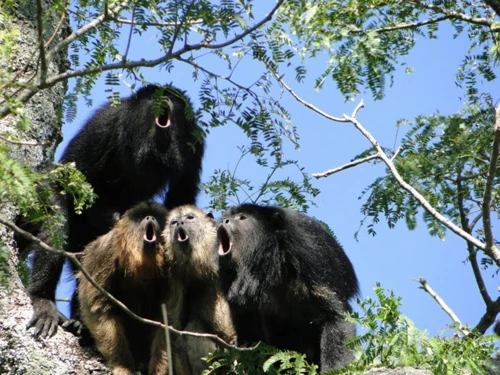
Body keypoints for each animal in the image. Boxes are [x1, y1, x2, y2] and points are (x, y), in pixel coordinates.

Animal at [77, 203, 169, 375]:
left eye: (157, 216)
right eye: (140, 216)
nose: (150, 217)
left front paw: (158, 370)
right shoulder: (105, 252)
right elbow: (99, 308)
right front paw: (123, 366)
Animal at [162, 206, 236, 375]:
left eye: (189, 218)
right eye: (173, 222)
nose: (179, 223)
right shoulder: (176, 275)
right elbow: (176, 328)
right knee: (194, 326)